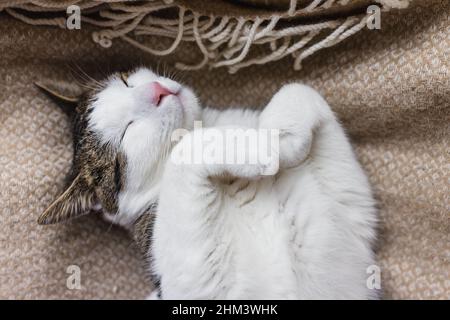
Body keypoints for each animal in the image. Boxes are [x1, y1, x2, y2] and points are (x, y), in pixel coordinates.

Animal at [38, 67, 378, 300]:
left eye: (125, 81)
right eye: (126, 132)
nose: (158, 91)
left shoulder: (351, 229)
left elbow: (298, 88)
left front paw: (281, 133)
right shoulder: (194, 285)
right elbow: (183, 153)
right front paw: (261, 148)